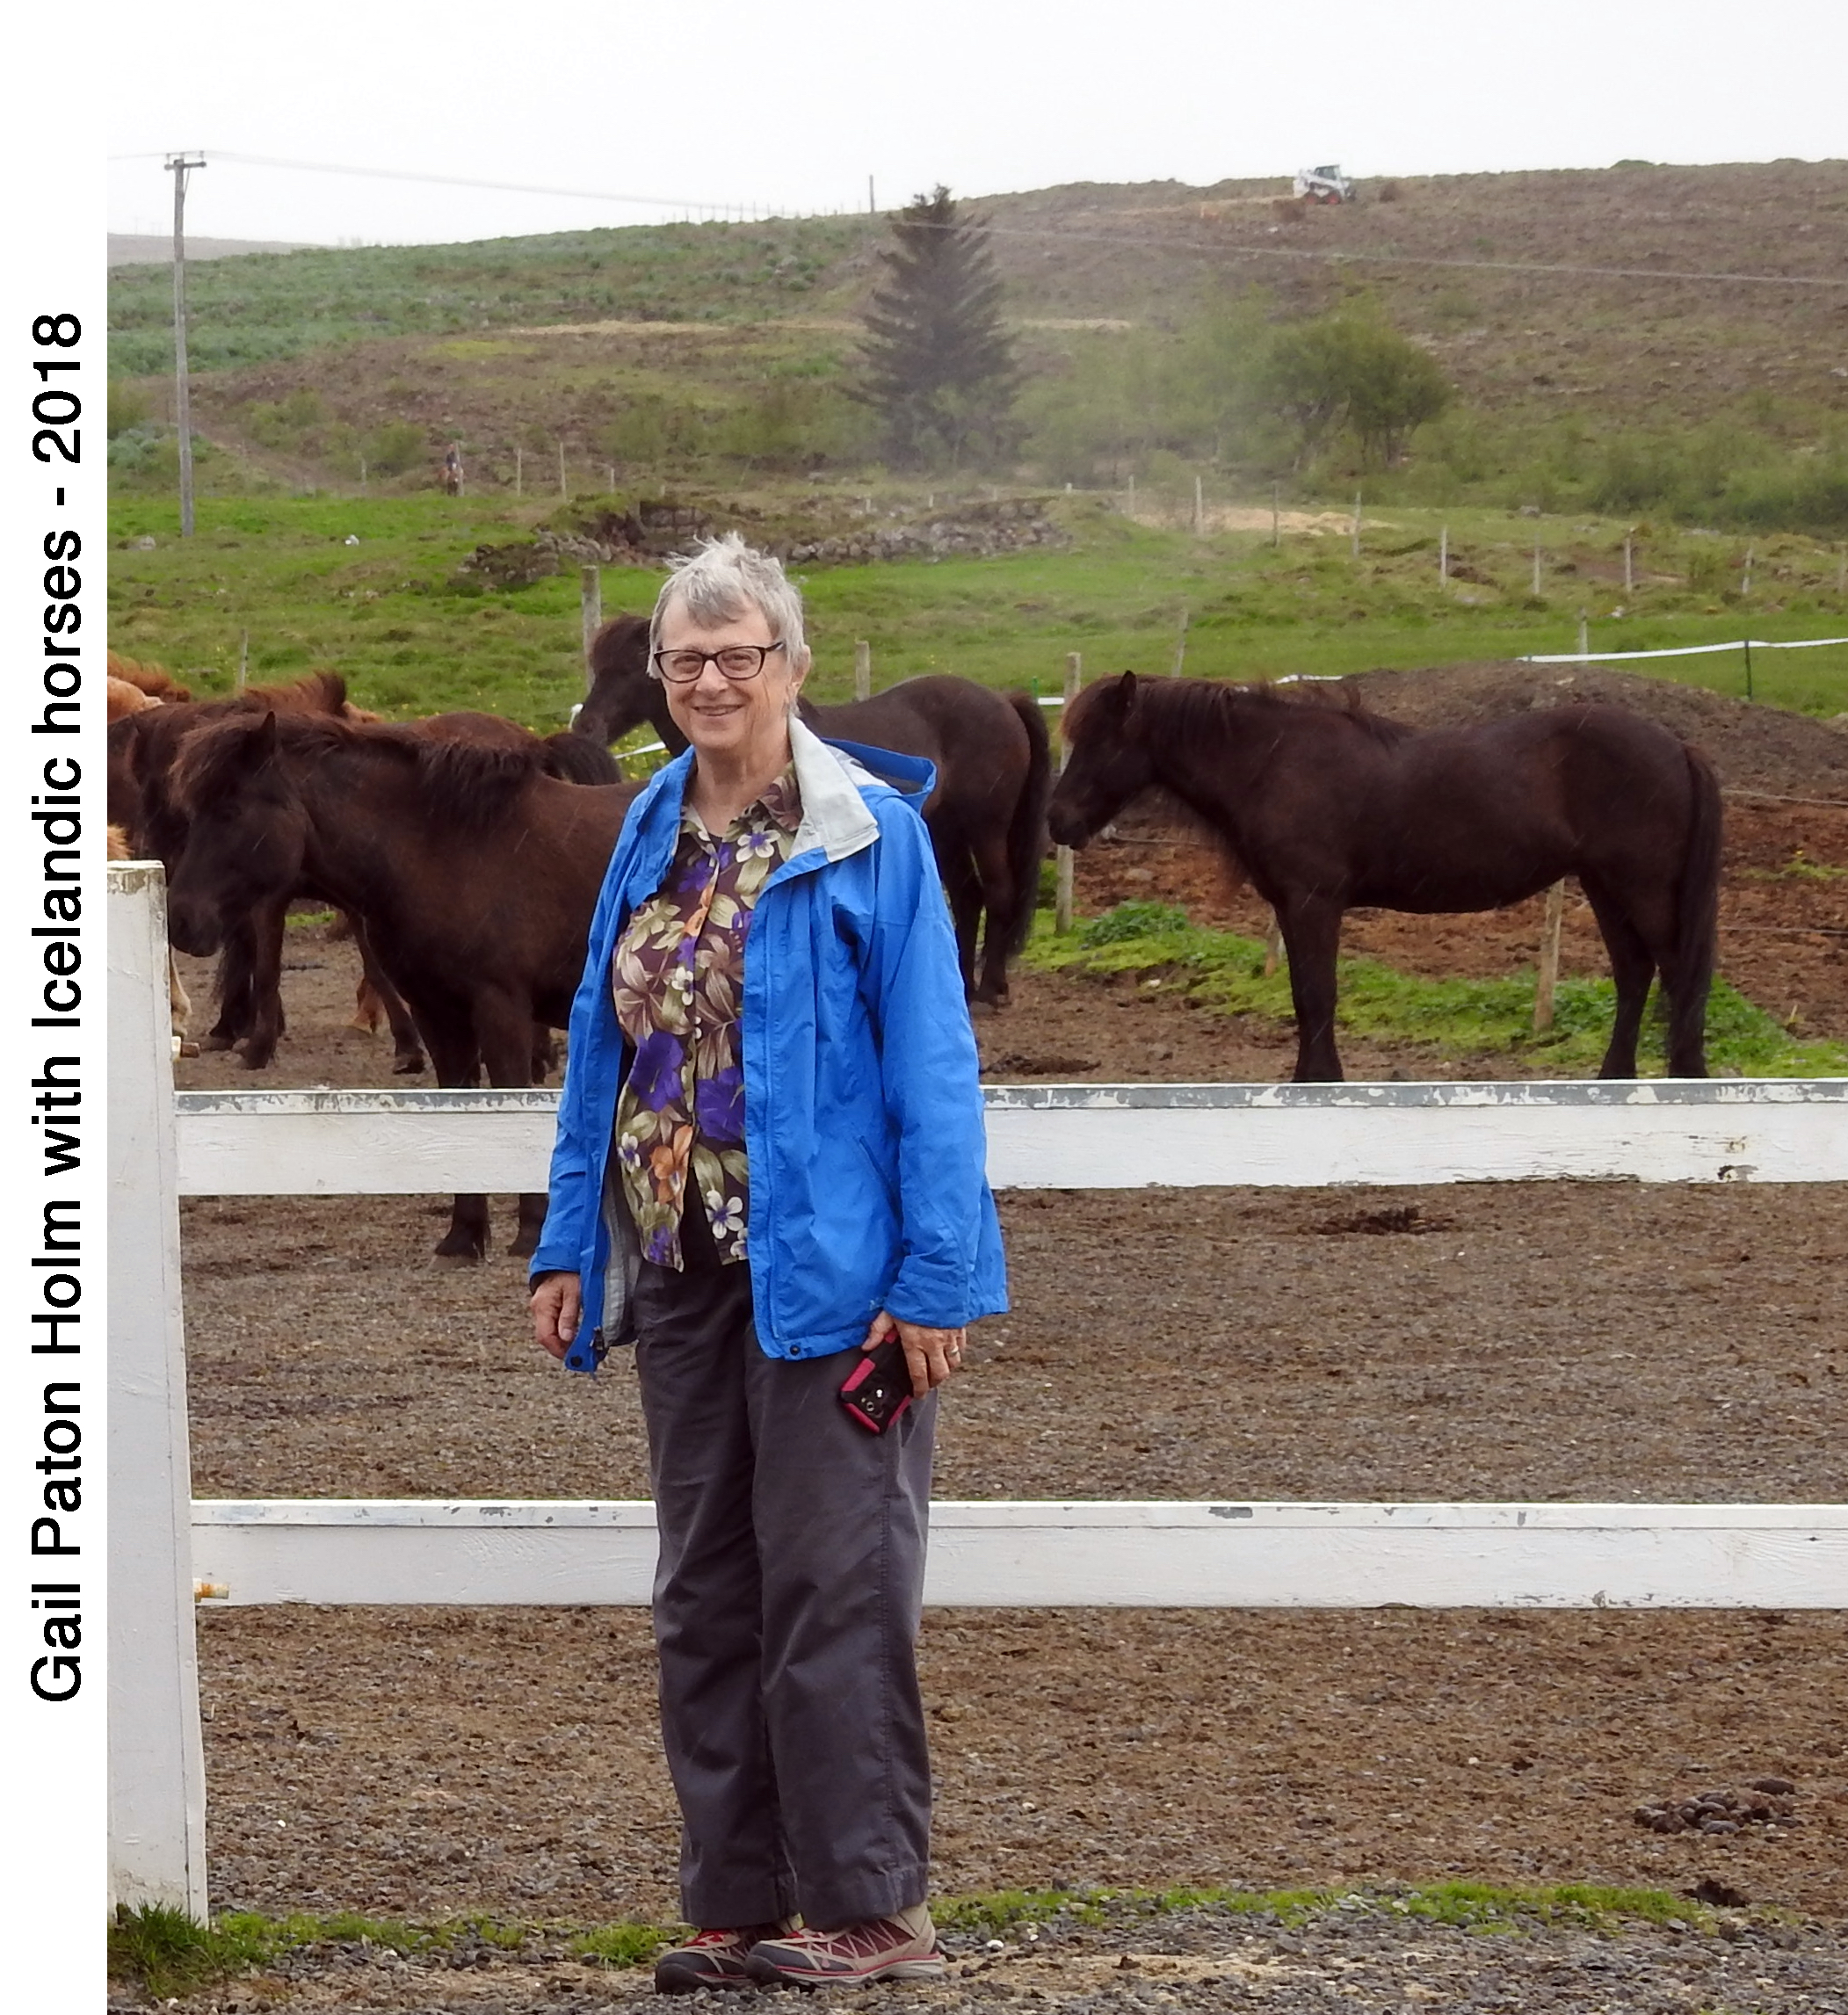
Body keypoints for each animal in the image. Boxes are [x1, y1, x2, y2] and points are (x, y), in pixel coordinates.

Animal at [169, 700, 641, 1249]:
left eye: (231, 812)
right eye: (193, 814)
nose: (180, 919)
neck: (448, 850)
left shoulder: (501, 1009)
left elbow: (510, 1097)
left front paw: (528, 1232)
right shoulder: (437, 1011)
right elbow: (459, 1102)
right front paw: (463, 1236)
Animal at [576, 604, 1047, 999]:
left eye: (630, 669)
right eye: (598, 667)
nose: (585, 727)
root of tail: (1004, 700)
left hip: (986, 826)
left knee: (998, 893)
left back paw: (991, 989)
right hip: (948, 830)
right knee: (968, 898)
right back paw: (965, 986)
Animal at [1047, 672, 1725, 1088]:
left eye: (1099, 741)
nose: (1059, 821)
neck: (1272, 762)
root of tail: (1677, 745)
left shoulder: (1314, 903)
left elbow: (1317, 995)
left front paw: (1323, 1081)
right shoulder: (1291, 907)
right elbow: (1303, 996)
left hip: (1642, 888)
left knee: (1677, 977)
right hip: (1604, 885)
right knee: (1635, 975)